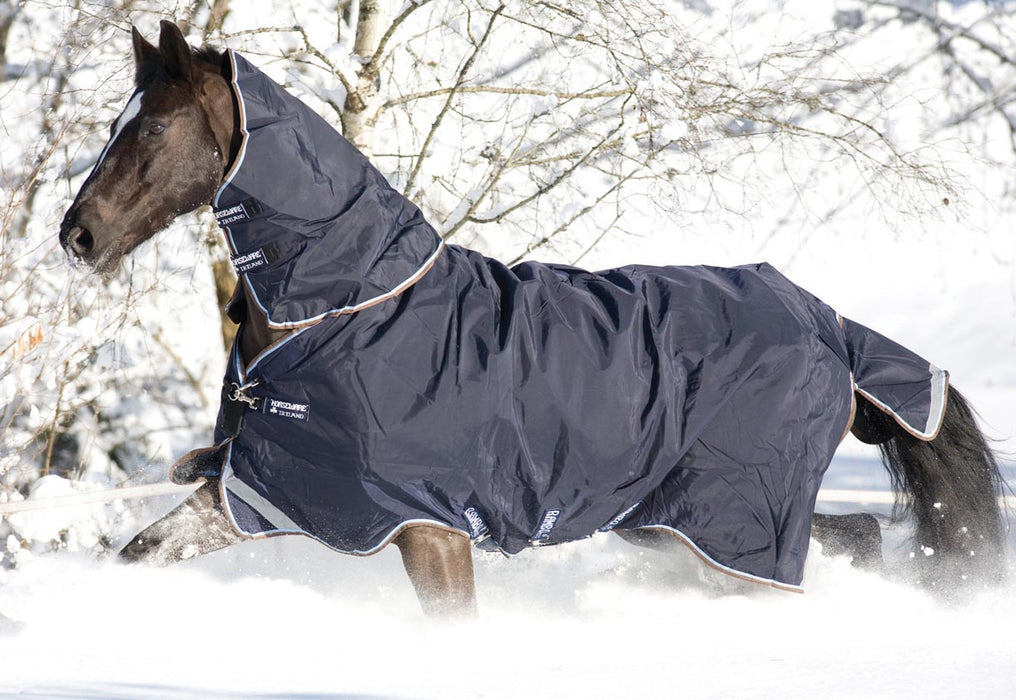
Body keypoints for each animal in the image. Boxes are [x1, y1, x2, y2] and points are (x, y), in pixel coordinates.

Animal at [58, 21, 1005, 616]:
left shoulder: (429, 529)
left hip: (725, 521)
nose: (78, 235)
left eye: (153, 130)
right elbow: (142, 553)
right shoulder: (256, 492)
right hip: (677, 524)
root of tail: (831, 328)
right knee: (855, 536)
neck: (343, 313)